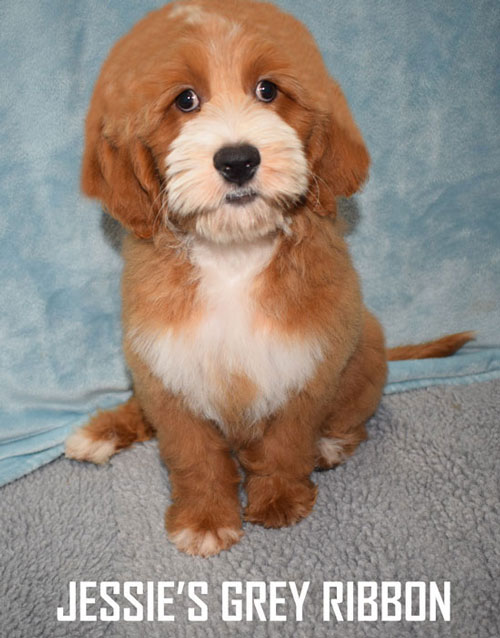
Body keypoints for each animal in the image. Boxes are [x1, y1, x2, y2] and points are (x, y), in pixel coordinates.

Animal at [66, 0, 472, 556]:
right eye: (185, 100)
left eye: (267, 90)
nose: (238, 160)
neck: (235, 253)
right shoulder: (168, 363)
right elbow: (193, 456)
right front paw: (205, 519)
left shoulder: (305, 361)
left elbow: (286, 442)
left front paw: (280, 500)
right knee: (139, 406)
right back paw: (100, 432)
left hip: (365, 347)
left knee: (354, 421)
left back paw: (331, 444)